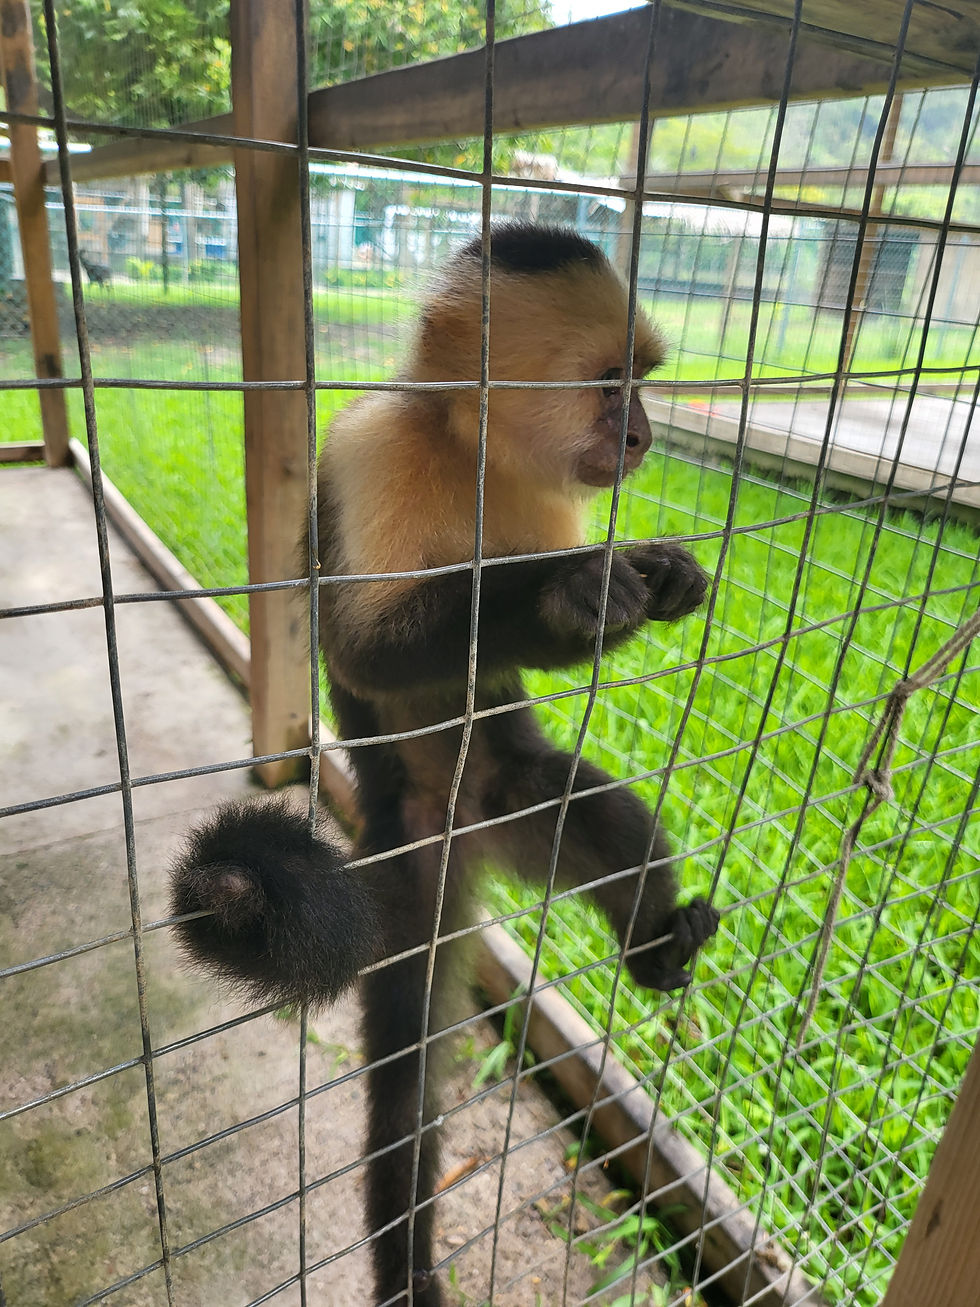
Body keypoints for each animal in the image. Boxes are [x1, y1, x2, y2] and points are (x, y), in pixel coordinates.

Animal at [170, 222, 719, 1306]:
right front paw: (560, 595)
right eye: (609, 386)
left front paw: (658, 573)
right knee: (406, 1091)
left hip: (512, 800)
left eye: (644, 383)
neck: (473, 450)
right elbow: (364, 648)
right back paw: (408, 1265)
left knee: (584, 808)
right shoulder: (371, 444)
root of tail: (461, 826)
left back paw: (652, 947)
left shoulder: (550, 491)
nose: (641, 436)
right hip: (407, 864)